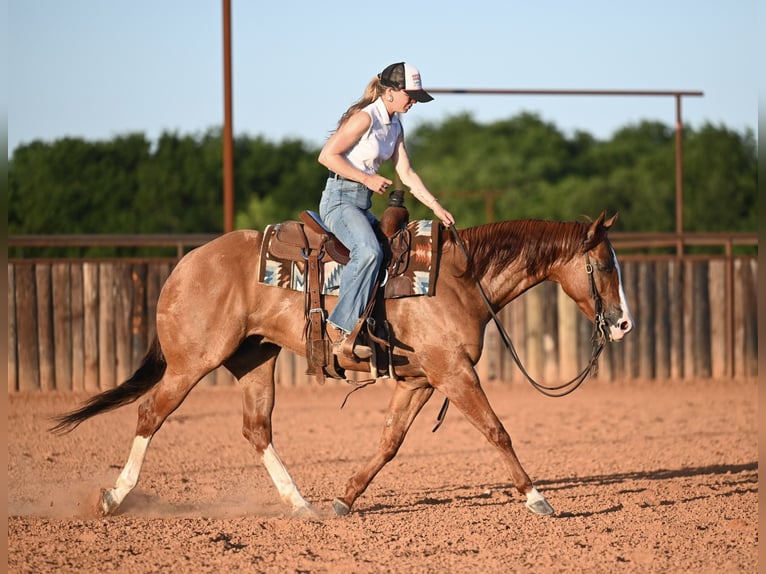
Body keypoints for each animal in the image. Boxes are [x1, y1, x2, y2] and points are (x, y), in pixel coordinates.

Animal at [52, 210, 633, 518]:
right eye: (605, 264)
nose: (624, 323)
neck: (458, 279)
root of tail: (184, 266)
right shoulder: (452, 372)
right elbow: (497, 430)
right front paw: (538, 499)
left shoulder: (421, 380)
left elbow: (389, 443)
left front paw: (344, 500)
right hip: (192, 362)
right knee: (151, 414)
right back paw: (113, 497)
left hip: (255, 360)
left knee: (256, 429)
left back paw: (302, 506)